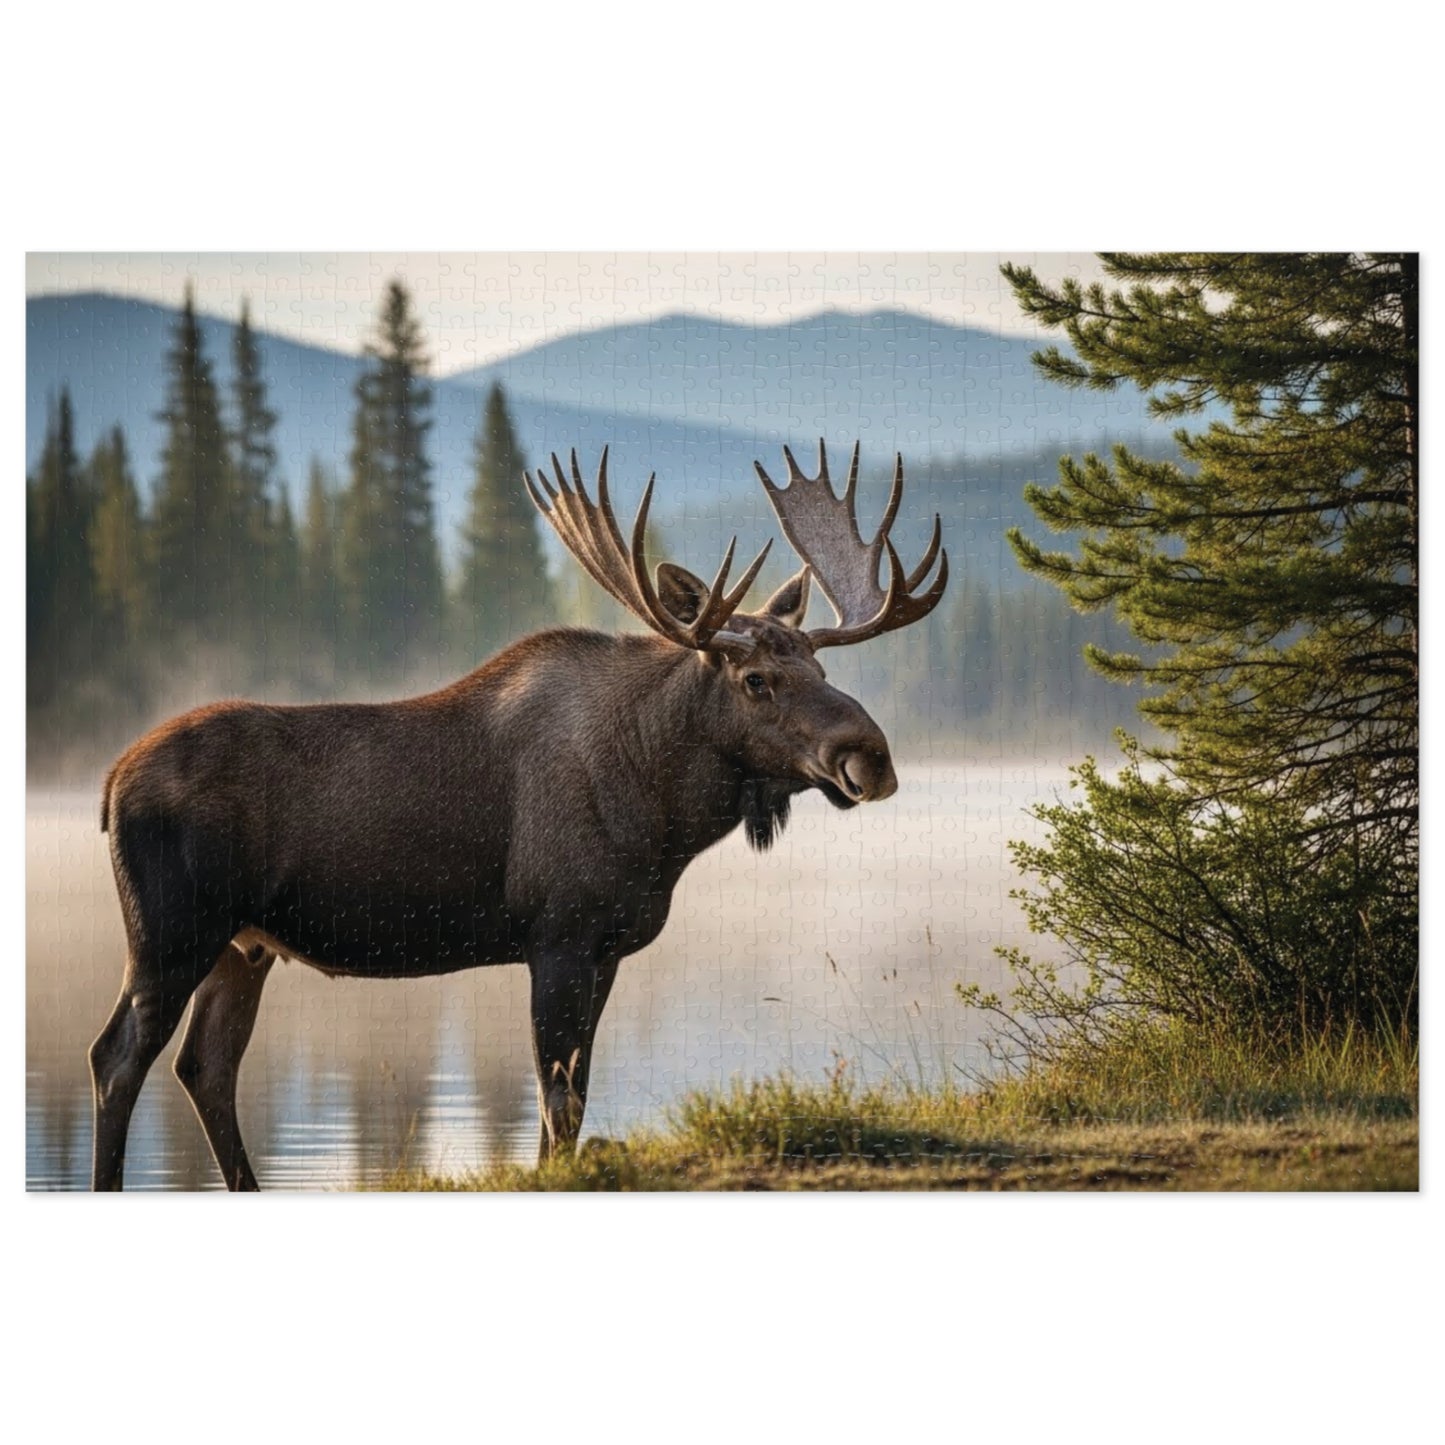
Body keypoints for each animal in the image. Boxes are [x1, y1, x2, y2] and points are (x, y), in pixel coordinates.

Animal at [89, 441, 948, 1189]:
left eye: (821, 667)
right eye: (757, 679)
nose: (869, 756)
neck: (663, 816)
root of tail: (109, 780)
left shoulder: (605, 948)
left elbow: (572, 1098)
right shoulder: (557, 936)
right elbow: (556, 1099)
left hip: (243, 945)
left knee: (205, 1066)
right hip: (170, 933)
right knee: (117, 1058)